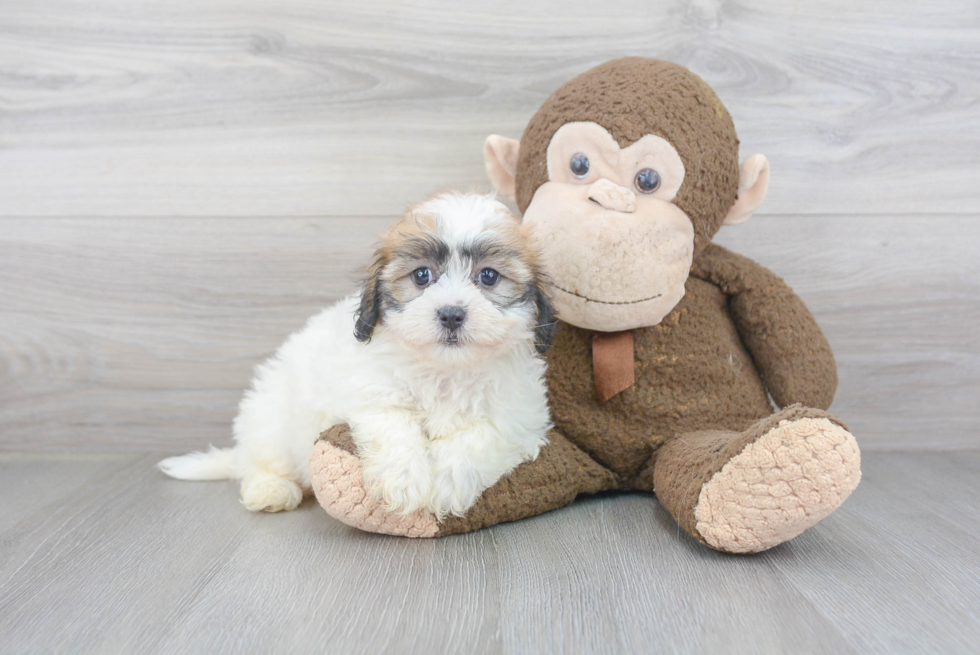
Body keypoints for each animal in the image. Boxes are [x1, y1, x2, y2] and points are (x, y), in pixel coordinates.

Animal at [162, 192, 560, 520]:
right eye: (421, 275)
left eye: (489, 276)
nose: (451, 314)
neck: (445, 371)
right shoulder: (371, 393)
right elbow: (395, 425)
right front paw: (406, 481)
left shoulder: (519, 416)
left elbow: (479, 438)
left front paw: (448, 483)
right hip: (272, 419)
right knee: (259, 462)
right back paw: (271, 489)